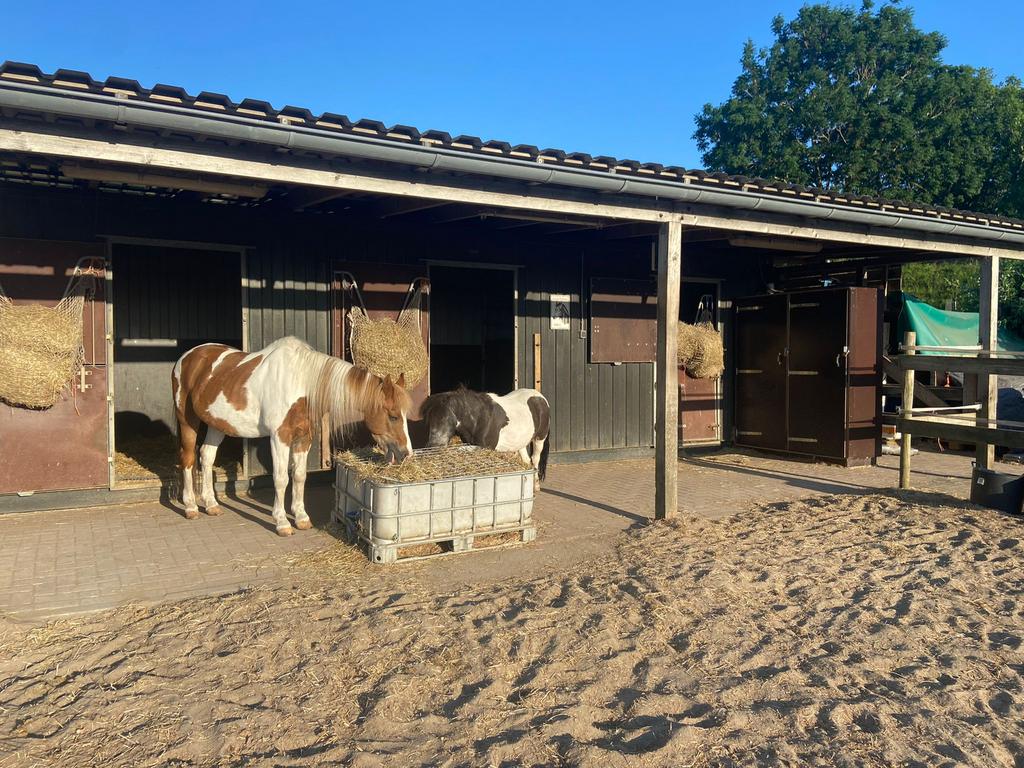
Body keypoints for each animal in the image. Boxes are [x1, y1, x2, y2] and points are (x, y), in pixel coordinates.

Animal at [171, 336, 412, 536]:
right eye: (392, 416)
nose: (406, 453)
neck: (301, 383)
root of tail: (188, 356)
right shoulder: (280, 437)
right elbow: (281, 479)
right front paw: (282, 522)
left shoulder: (303, 438)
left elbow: (299, 476)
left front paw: (301, 517)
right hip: (187, 420)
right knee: (188, 459)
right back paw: (191, 507)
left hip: (216, 423)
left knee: (206, 456)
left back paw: (211, 505)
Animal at [420, 386, 550, 487]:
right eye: (429, 419)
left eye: (444, 418)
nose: (432, 446)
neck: (479, 418)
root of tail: (540, 397)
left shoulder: (487, 447)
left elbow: (462, 450)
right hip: (520, 441)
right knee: (527, 460)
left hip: (539, 439)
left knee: (535, 458)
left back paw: (536, 485)